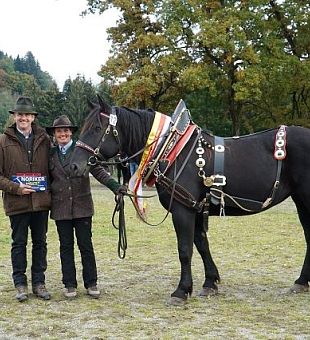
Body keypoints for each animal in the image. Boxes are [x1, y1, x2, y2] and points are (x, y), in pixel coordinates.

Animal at [70, 96, 310, 306]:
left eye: (96, 128)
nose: (73, 166)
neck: (171, 149)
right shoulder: (195, 208)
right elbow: (201, 244)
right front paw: (210, 282)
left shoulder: (182, 210)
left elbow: (185, 249)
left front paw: (181, 291)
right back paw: (302, 281)